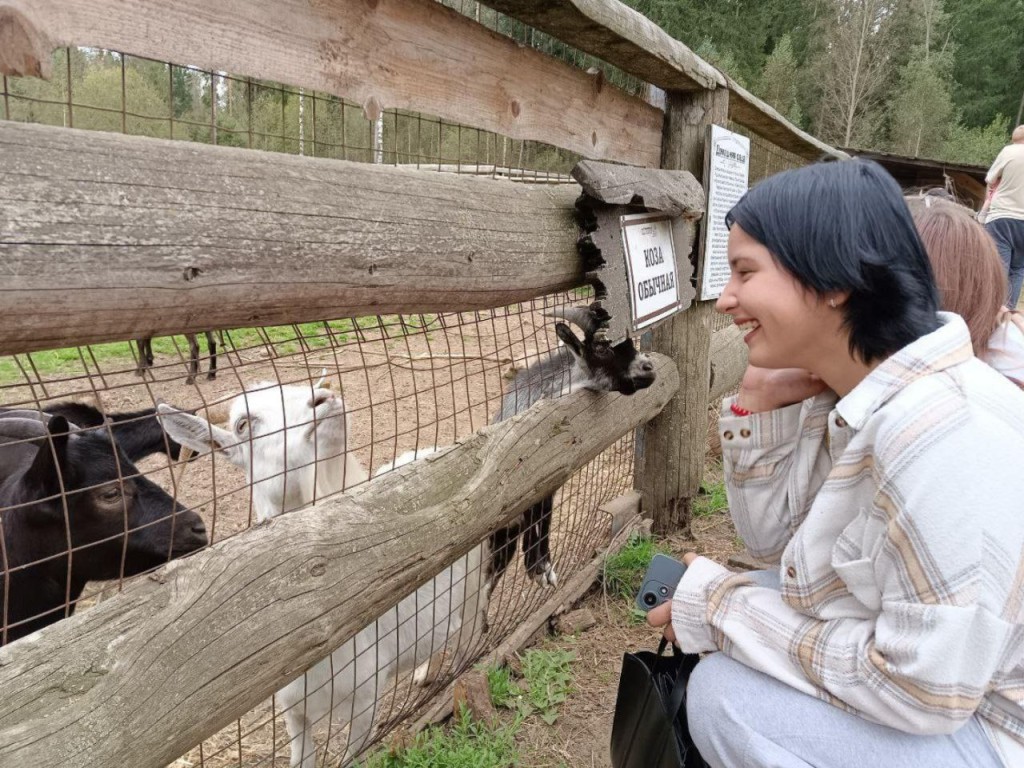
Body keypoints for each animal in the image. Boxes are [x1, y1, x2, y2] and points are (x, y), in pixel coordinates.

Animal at [158, 391, 487, 768]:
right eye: (242, 425)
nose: (324, 399)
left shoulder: (366, 702)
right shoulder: (293, 708)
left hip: (474, 580)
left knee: (469, 630)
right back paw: (423, 674)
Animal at [487, 305, 655, 589]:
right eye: (601, 348)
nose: (649, 367)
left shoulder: (550, 483)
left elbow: (545, 515)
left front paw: (542, 567)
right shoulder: (525, 484)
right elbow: (536, 514)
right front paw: (538, 567)